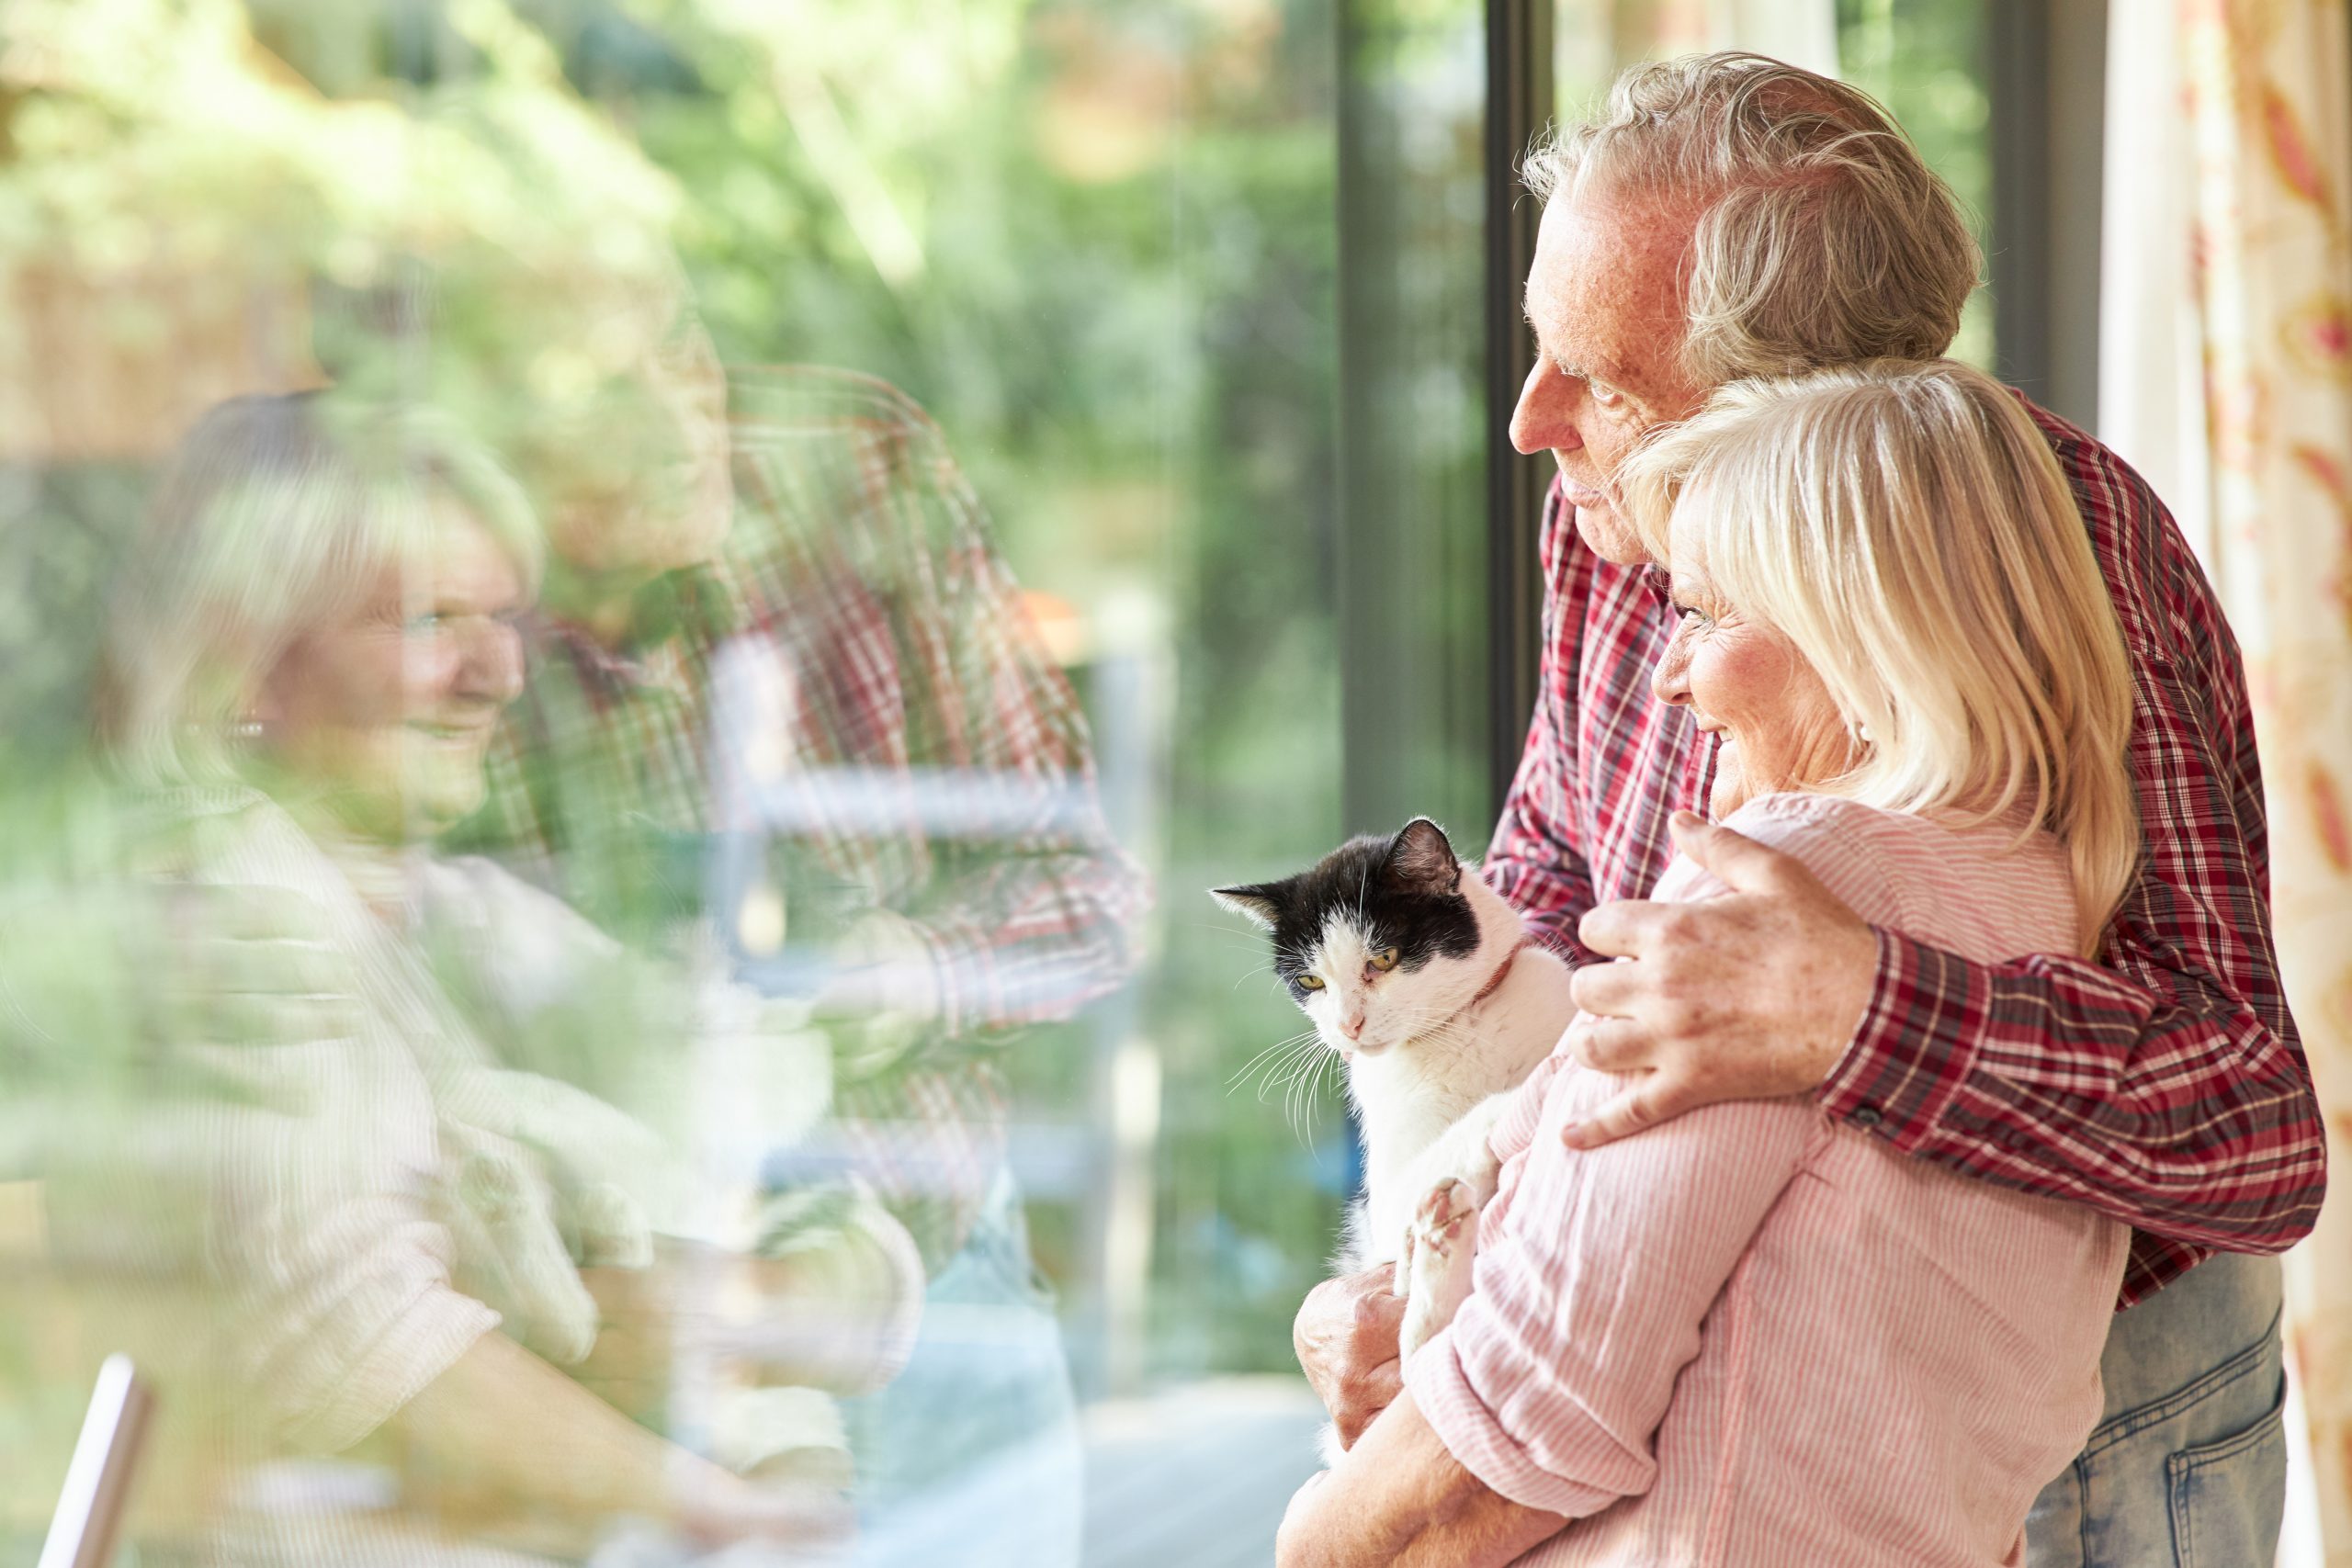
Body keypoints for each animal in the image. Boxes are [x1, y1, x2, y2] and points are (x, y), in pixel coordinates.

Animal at [1213, 822, 1580, 1363]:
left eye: (1384, 958)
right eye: (1310, 980)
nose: (1348, 1024)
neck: (1456, 1030)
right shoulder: (1382, 1211)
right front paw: (1522, 1094)